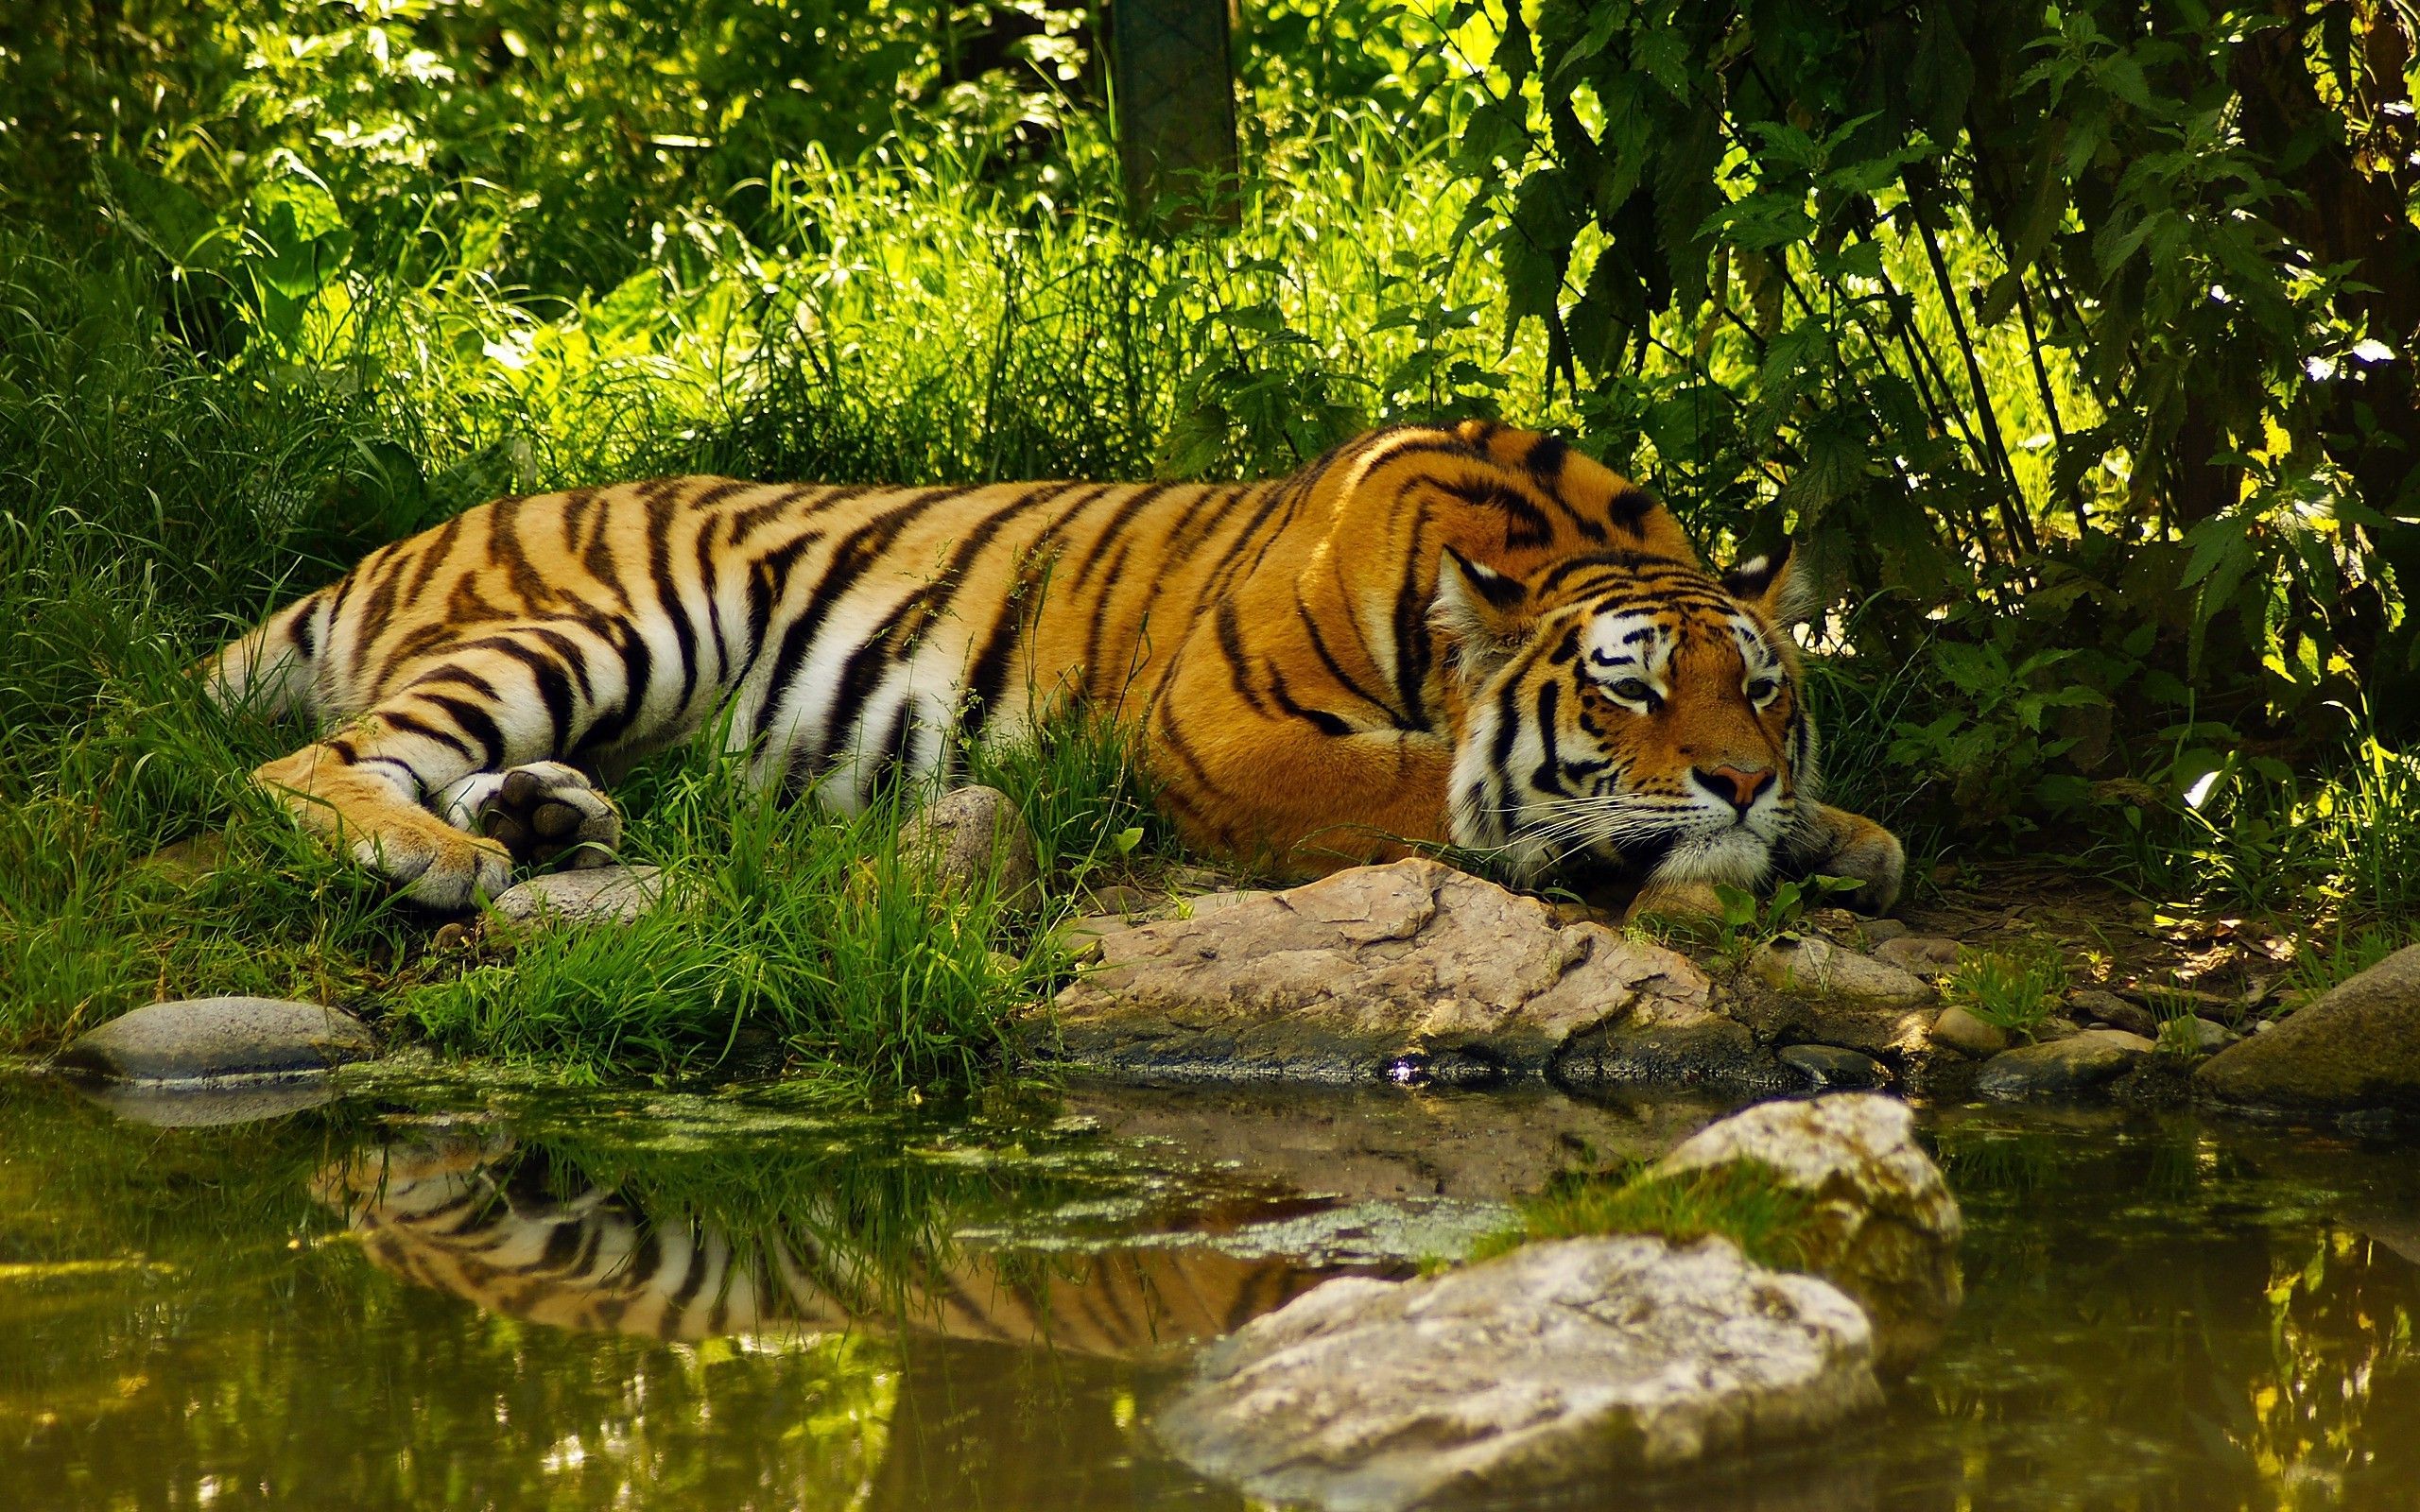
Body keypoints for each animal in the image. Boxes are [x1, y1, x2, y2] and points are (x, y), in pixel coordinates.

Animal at [204, 420, 1903, 914]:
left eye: (1762, 687)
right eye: (1626, 688)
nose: (1740, 782)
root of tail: (404, 540)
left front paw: (1840, 832)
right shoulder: (1220, 732)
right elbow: (1432, 790)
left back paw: (545, 818)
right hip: (610, 626)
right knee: (306, 764)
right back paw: (437, 857)